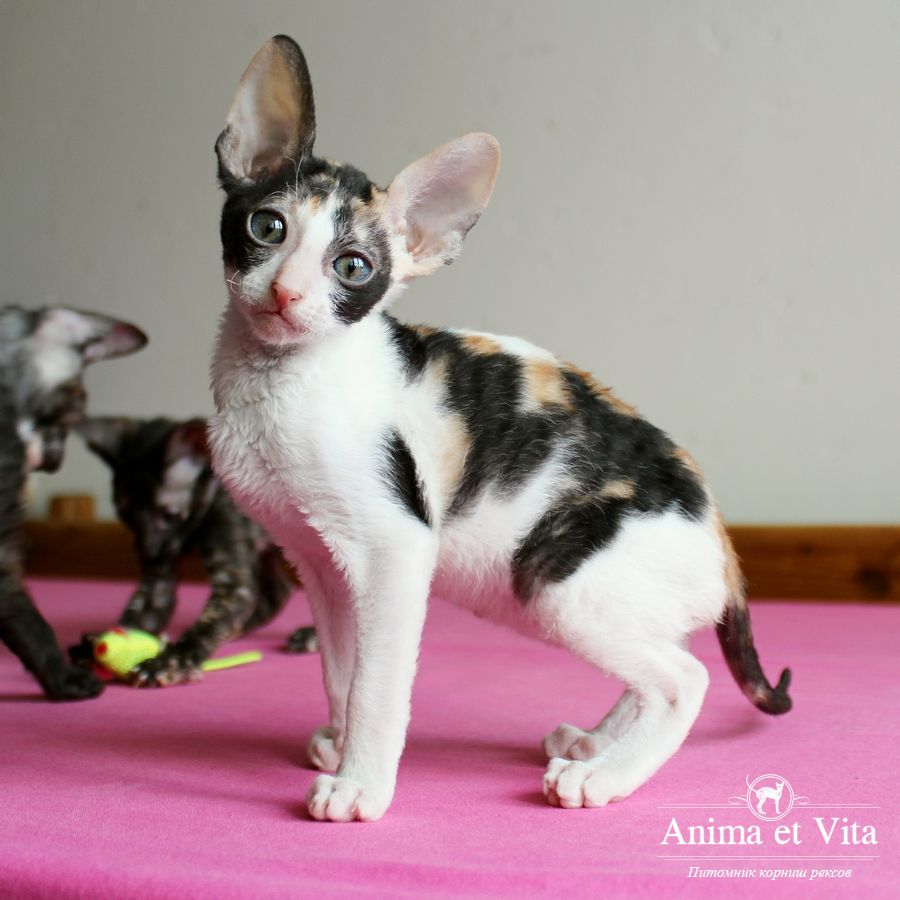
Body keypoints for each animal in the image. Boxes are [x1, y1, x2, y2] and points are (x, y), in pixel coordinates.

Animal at [74, 415, 316, 685]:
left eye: (169, 516)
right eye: (127, 517)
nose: (149, 551)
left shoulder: (232, 584)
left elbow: (205, 627)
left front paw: (171, 661)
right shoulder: (158, 581)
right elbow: (137, 615)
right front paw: (102, 645)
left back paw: (310, 636)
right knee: (279, 590)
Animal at [207, 35, 792, 822]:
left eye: (352, 267)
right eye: (265, 228)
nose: (286, 293)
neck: (276, 383)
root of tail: (722, 543)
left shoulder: (395, 549)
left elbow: (380, 683)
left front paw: (362, 785)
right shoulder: (320, 563)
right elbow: (341, 669)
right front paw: (338, 739)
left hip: (557, 578)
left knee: (684, 679)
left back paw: (602, 777)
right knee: (670, 658)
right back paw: (596, 742)